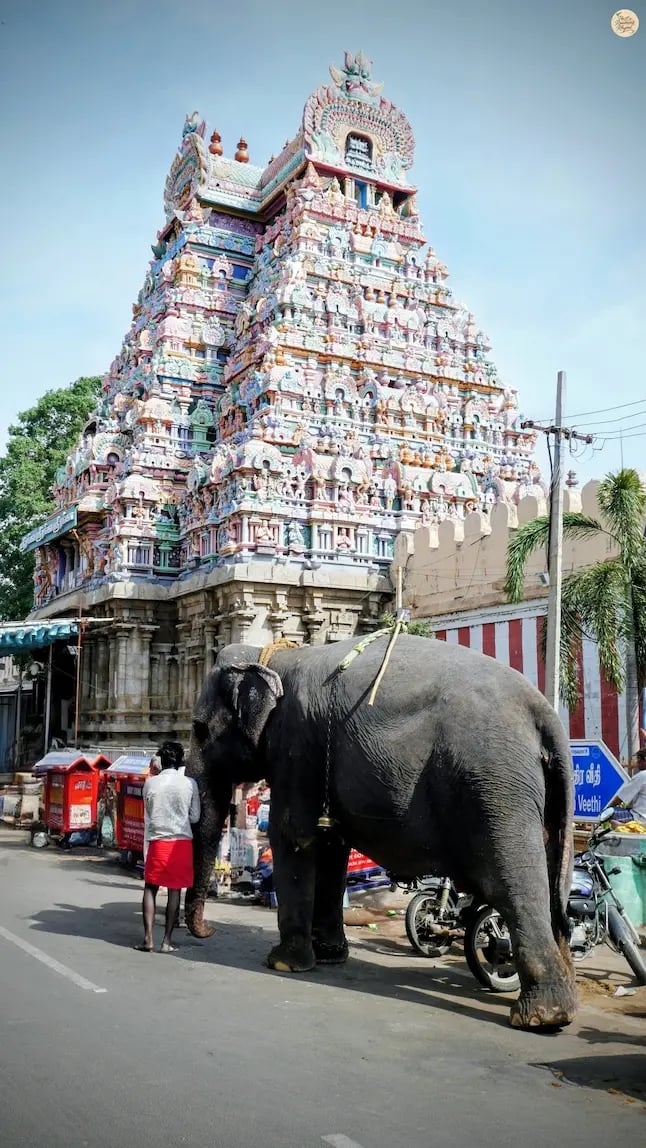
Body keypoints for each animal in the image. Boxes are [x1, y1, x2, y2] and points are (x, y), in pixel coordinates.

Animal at [185, 634, 577, 1030]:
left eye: (199, 728)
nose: (208, 931)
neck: (277, 657)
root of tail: (545, 713)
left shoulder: (296, 746)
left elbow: (295, 835)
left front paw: (283, 963)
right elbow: (332, 847)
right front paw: (330, 957)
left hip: (495, 785)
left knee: (512, 886)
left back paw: (541, 1017)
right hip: (538, 794)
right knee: (551, 884)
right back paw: (560, 1001)